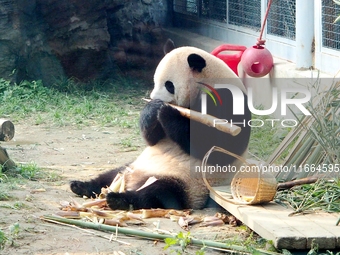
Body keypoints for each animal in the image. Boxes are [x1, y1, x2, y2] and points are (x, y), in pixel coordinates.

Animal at [70, 44, 251, 210]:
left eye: (169, 85)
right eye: (154, 81)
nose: (154, 98)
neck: (211, 80)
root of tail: (134, 181)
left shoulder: (229, 100)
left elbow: (220, 148)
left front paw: (167, 112)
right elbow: (153, 139)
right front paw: (152, 109)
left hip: (189, 183)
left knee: (159, 192)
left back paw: (120, 199)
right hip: (134, 165)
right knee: (110, 175)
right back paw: (81, 186)